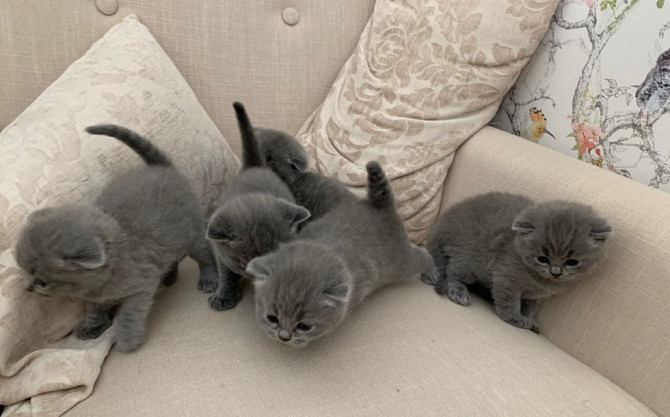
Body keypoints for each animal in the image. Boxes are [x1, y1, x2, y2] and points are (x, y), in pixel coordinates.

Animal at [15, 124, 219, 352]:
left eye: (43, 282)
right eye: (25, 272)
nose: (28, 288)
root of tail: (162, 168)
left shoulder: (142, 286)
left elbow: (130, 313)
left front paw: (127, 338)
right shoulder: (93, 296)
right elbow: (95, 310)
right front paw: (92, 326)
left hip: (192, 230)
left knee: (203, 254)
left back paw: (209, 279)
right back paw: (168, 276)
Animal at [244, 161, 438, 346]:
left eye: (304, 326)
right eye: (272, 318)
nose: (284, 337)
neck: (324, 247)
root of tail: (381, 207)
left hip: (402, 263)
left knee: (423, 255)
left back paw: (431, 272)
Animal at [426, 191, 616, 332]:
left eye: (572, 262)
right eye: (542, 259)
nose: (556, 272)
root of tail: (442, 226)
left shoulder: (535, 295)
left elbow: (530, 307)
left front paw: (530, 321)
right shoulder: (506, 278)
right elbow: (510, 301)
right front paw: (515, 318)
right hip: (468, 257)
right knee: (453, 272)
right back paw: (459, 292)